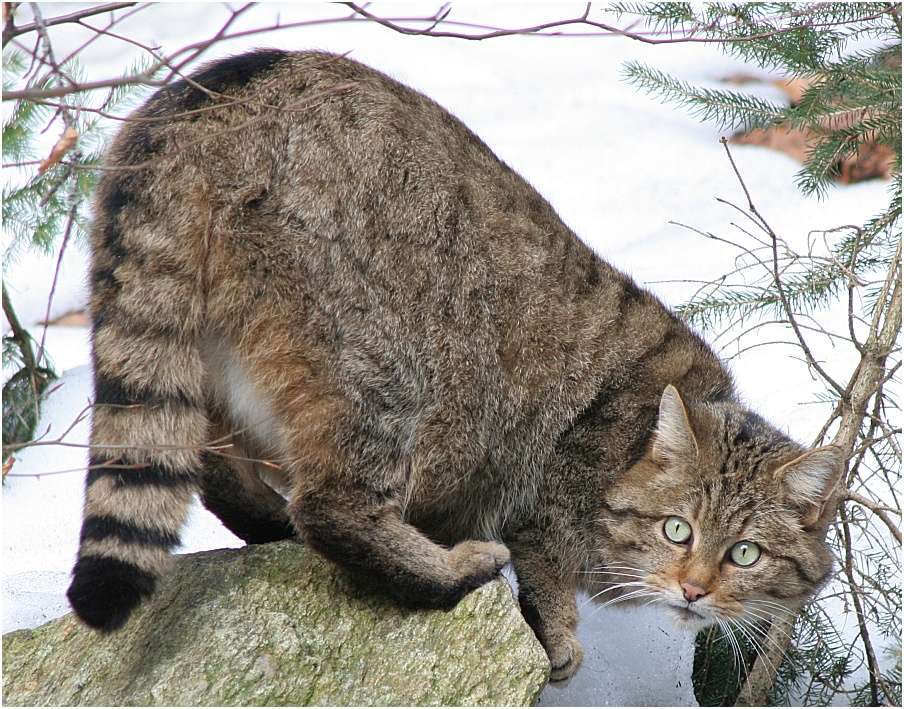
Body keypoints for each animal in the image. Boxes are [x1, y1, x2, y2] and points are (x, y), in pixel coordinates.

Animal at [69, 48, 840, 680]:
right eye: (678, 530)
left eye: (745, 553)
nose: (695, 589)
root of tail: (213, 94)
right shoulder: (548, 487)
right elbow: (546, 567)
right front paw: (557, 636)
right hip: (380, 370)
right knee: (330, 506)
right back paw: (446, 568)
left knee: (219, 472)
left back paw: (271, 519)